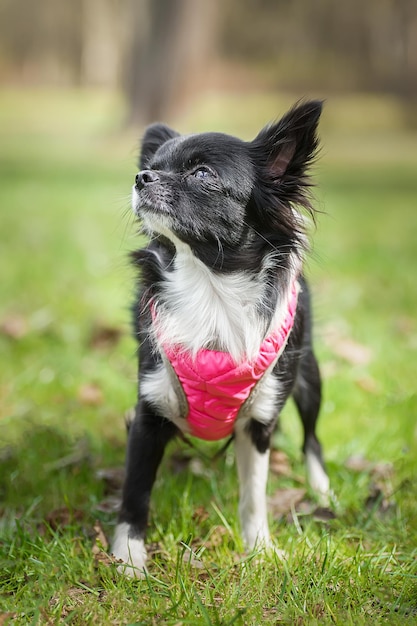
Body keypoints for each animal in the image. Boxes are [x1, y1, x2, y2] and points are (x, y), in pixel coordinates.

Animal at [113, 100, 328, 572]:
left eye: (202, 174)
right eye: (153, 166)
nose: (141, 177)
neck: (210, 288)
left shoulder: (259, 423)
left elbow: (254, 496)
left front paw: (260, 549)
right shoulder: (150, 411)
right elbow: (135, 491)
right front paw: (128, 557)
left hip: (309, 378)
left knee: (312, 438)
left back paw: (323, 490)